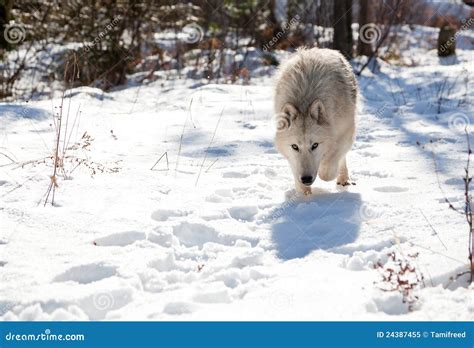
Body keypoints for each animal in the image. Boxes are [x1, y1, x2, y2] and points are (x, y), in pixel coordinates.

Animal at [272, 47, 358, 194]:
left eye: (315, 145)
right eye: (295, 147)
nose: (306, 178)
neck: (304, 101)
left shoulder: (345, 131)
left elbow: (327, 171)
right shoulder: (292, 158)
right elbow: (299, 178)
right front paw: (304, 196)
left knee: (341, 158)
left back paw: (343, 179)